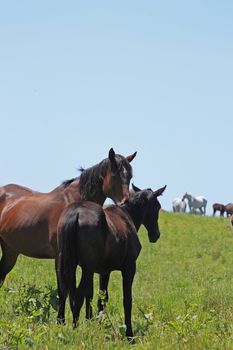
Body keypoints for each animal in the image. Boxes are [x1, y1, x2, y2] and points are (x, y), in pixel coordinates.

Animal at [56, 185, 166, 338]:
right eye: (158, 206)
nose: (156, 234)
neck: (127, 217)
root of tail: (75, 214)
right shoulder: (129, 268)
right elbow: (127, 300)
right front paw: (129, 334)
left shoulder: (104, 271)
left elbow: (101, 298)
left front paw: (98, 324)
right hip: (87, 268)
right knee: (77, 295)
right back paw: (75, 329)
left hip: (66, 263)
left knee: (64, 291)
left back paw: (62, 324)